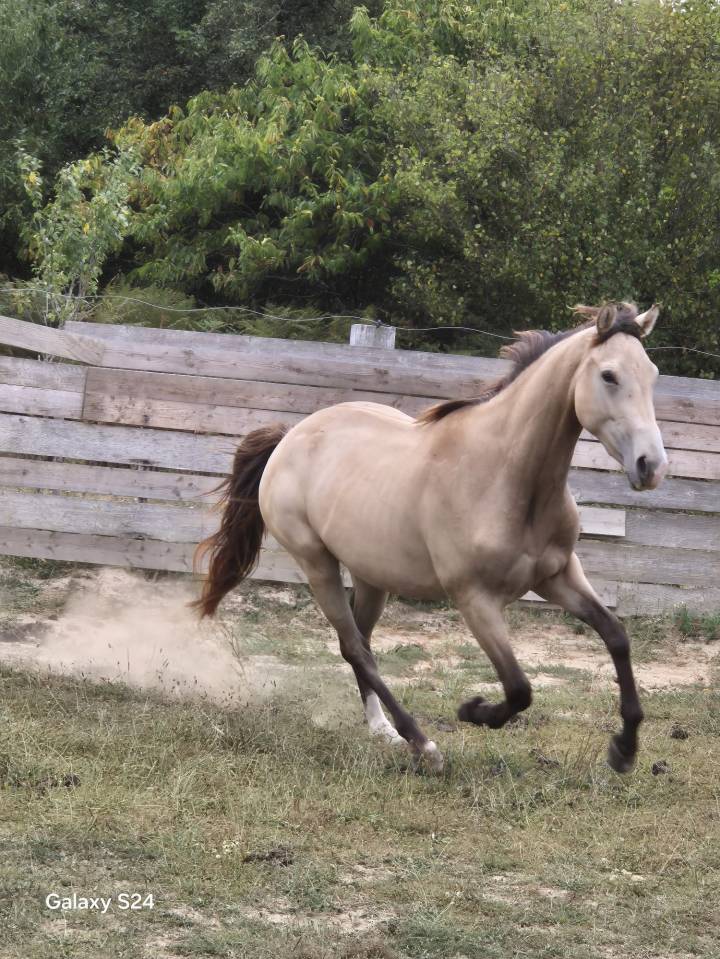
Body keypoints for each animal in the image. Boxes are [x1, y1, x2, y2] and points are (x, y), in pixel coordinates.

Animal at [194, 302, 667, 774]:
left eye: (653, 373)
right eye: (609, 375)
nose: (651, 466)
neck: (504, 474)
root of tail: (288, 438)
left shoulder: (558, 575)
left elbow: (616, 636)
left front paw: (624, 749)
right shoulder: (475, 598)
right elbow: (518, 688)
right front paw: (473, 711)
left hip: (372, 575)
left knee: (360, 644)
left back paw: (382, 730)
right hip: (317, 564)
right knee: (354, 647)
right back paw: (422, 744)